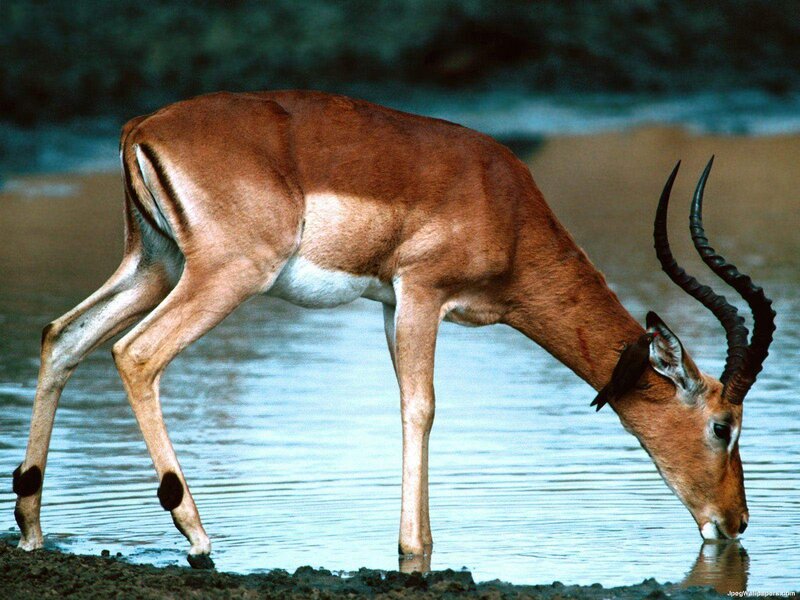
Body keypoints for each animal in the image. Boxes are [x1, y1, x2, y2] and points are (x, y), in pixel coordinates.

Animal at [13, 91, 775, 569]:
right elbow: (422, 408)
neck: (507, 208)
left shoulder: (387, 304)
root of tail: (142, 128)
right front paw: (416, 550)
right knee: (136, 353)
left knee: (62, 336)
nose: (735, 523)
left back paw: (31, 530)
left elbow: (410, 406)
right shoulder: (420, 294)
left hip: (152, 265)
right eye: (722, 426)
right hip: (223, 276)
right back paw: (196, 535)